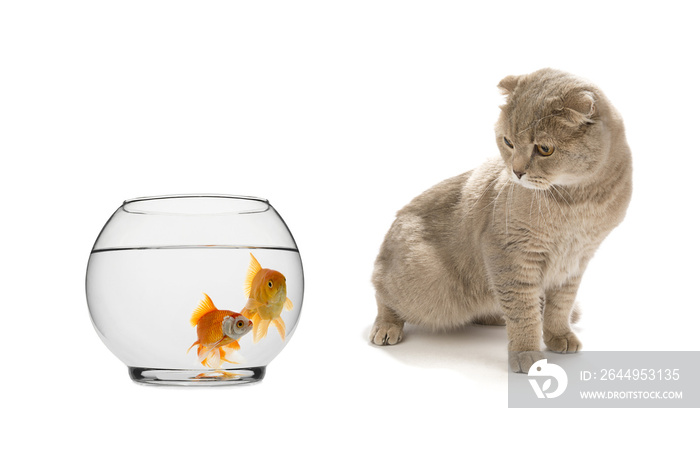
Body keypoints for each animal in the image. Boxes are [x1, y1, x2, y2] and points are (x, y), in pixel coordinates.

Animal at [370, 69, 632, 374]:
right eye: (508, 142)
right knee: (382, 291)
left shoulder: (575, 261)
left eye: (544, 149)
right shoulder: (510, 255)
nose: (517, 172)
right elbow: (523, 312)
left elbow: (560, 306)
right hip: (426, 282)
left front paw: (559, 335)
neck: (578, 202)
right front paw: (526, 352)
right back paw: (387, 326)